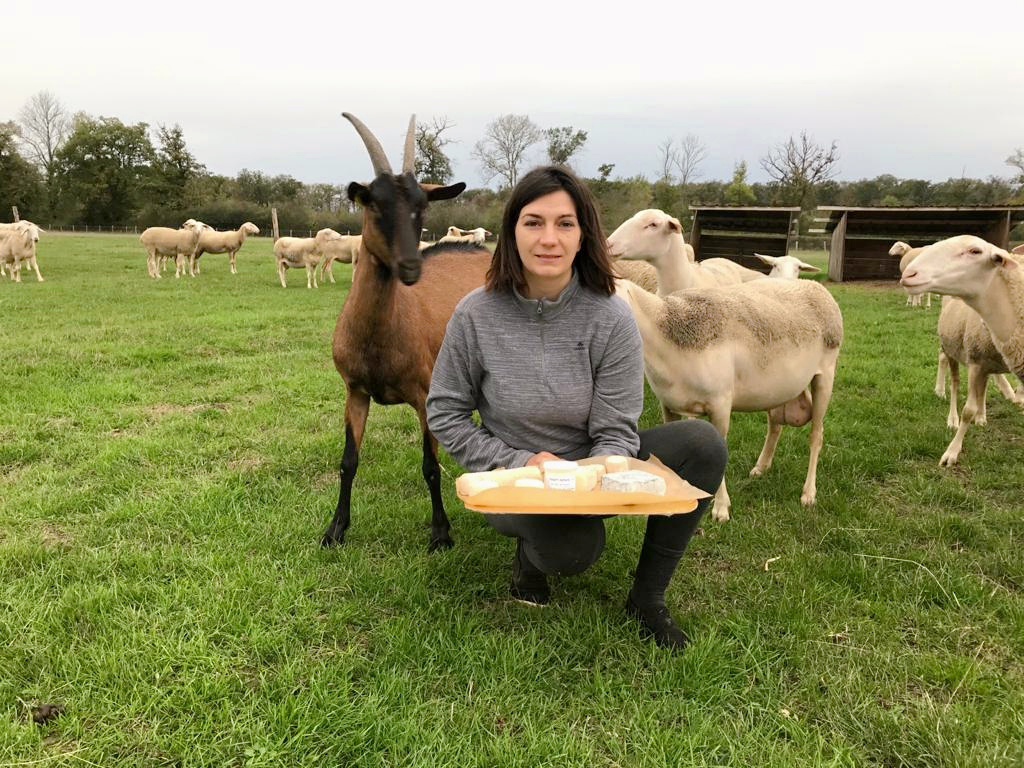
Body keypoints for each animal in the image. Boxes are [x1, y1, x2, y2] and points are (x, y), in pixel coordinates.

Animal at [610, 276, 843, 524]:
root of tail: (815, 286)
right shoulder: (668, 406)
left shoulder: (720, 402)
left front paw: (721, 508)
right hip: (779, 390)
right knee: (775, 426)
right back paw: (761, 467)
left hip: (826, 374)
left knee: (816, 435)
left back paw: (808, 493)